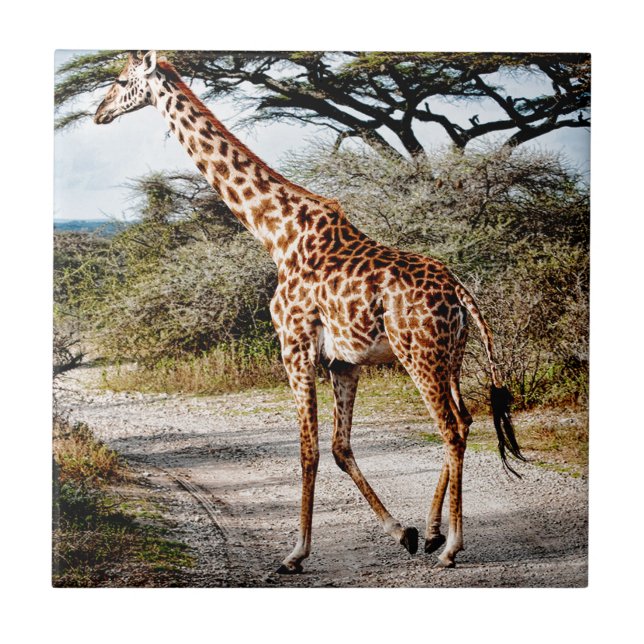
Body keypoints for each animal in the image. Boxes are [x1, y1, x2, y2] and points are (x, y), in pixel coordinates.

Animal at [94, 50, 525, 572]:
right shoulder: (343, 361)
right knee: (464, 421)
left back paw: (452, 547)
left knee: (451, 429)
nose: (99, 113)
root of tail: (461, 291)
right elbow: (339, 447)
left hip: (419, 355)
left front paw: (295, 553)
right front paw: (402, 532)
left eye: (121, 81)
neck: (275, 232)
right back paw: (433, 533)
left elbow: (308, 451)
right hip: (451, 356)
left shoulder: (294, 345)